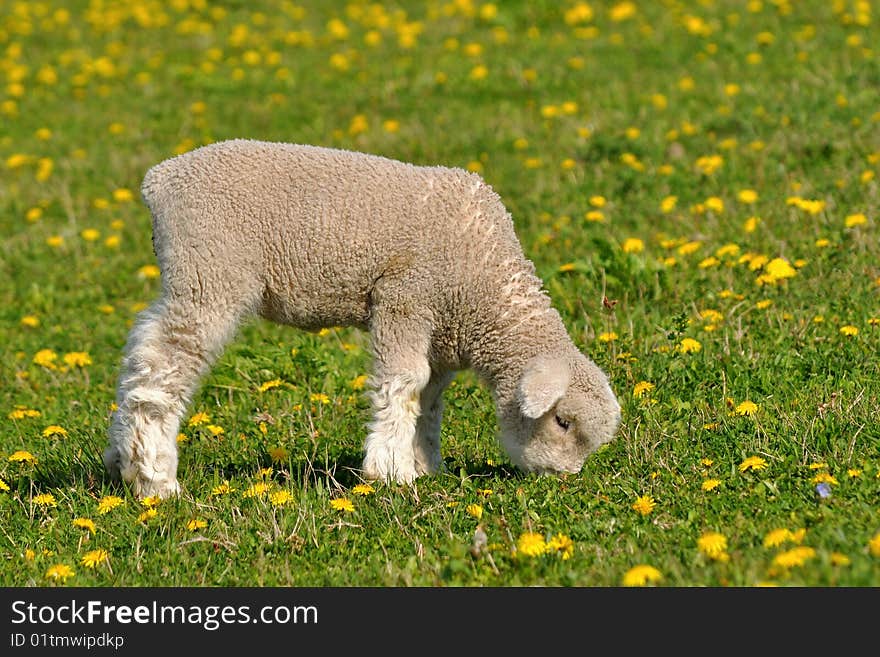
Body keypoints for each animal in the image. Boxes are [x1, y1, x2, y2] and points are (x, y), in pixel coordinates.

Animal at [103, 140, 624, 498]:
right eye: (562, 422)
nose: (560, 478)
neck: (485, 293)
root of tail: (160, 180)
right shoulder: (405, 299)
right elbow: (402, 383)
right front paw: (390, 471)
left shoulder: (441, 337)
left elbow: (429, 401)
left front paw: (424, 464)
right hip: (208, 277)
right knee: (161, 369)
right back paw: (154, 478)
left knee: (139, 353)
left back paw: (119, 458)